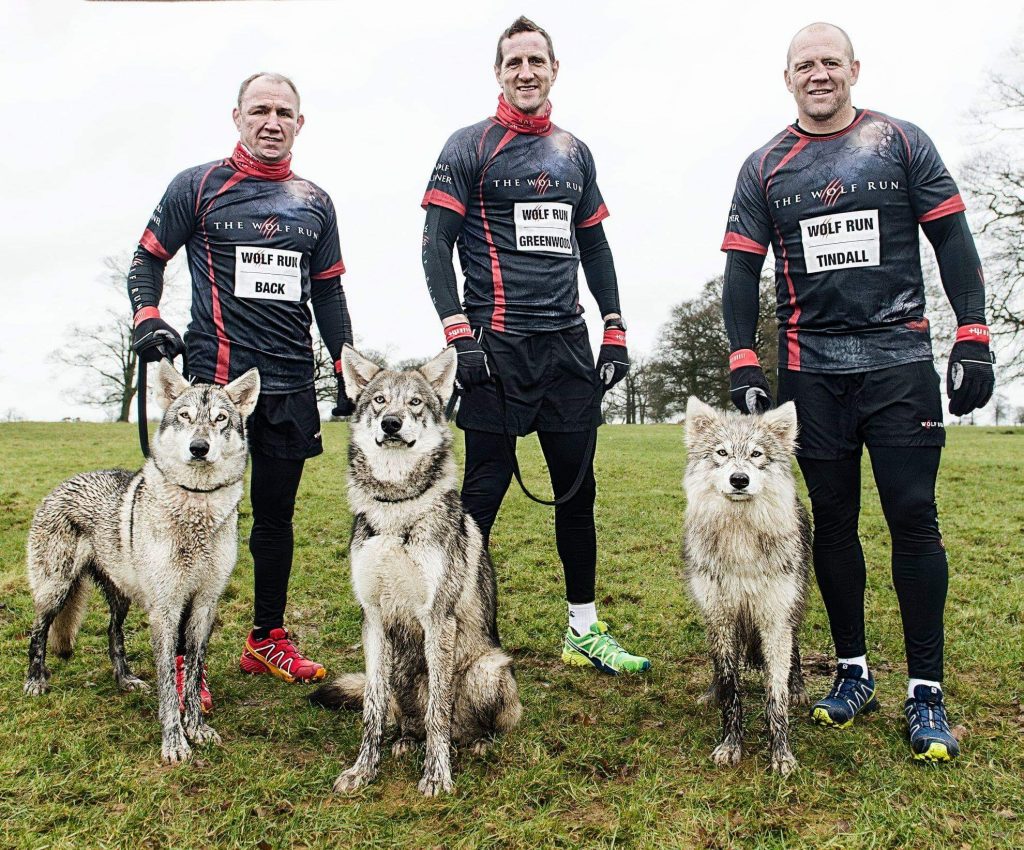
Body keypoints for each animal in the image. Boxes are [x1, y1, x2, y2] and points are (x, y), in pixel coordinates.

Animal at [24, 360, 260, 765]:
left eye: (220, 419)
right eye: (185, 416)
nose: (199, 448)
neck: (196, 507)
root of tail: (61, 485)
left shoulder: (204, 605)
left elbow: (192, 673)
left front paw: (197, 728)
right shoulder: (166, 608)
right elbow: (169, 680)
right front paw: (175, 742)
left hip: (121, 596)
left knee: (112, 634)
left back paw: (125, 680)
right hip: (56, 589)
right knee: (38, 632)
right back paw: (35, 680)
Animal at [310, 344, 522, 797]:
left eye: (415, 403)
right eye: (378, 400)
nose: (391, 422)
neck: (396, 509)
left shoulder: (437, 619)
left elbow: (438, 712)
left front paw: (437, 775)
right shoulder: (373, 619)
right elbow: (372, 711)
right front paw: (363, 770)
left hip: (487, 669)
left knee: (464, 725)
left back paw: (476, 743)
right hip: (401, 673)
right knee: (405, 718)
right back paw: (406, 741)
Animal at [683, 396, 811, 775]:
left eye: (756, 454)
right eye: (722, 453)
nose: (739, 479)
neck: (740, 535)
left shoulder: (775, 620)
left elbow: (775, 696)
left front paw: (781, 754)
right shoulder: (722, 617)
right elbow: (731, 687)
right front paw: (731, 744)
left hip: (795, 605)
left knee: (796, 650)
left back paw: (799, 687)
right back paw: (710, 692)